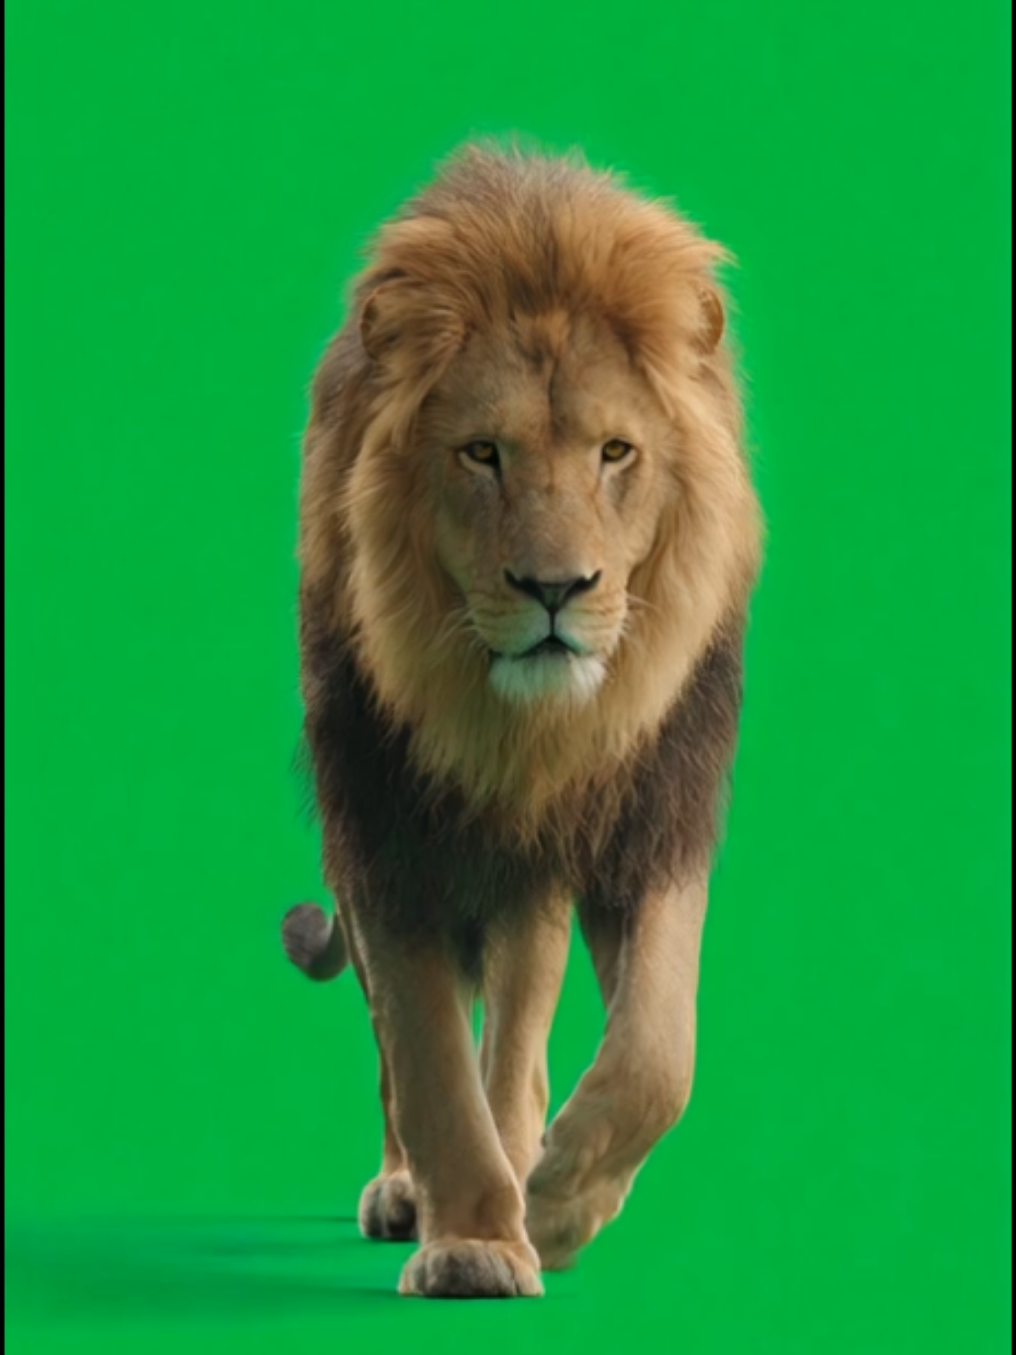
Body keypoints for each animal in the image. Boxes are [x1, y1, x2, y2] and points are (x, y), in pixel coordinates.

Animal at [283, 144, 762, 1299]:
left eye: (615, 452)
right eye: (481, 453)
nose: (556, 588)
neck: (525, 735)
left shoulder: (647, 817)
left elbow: (656, 1056)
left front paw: (553, 1204)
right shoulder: (384, 833)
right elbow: (424, 1057)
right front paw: (468, 1241)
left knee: (521, 1044)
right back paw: (411, 1189)